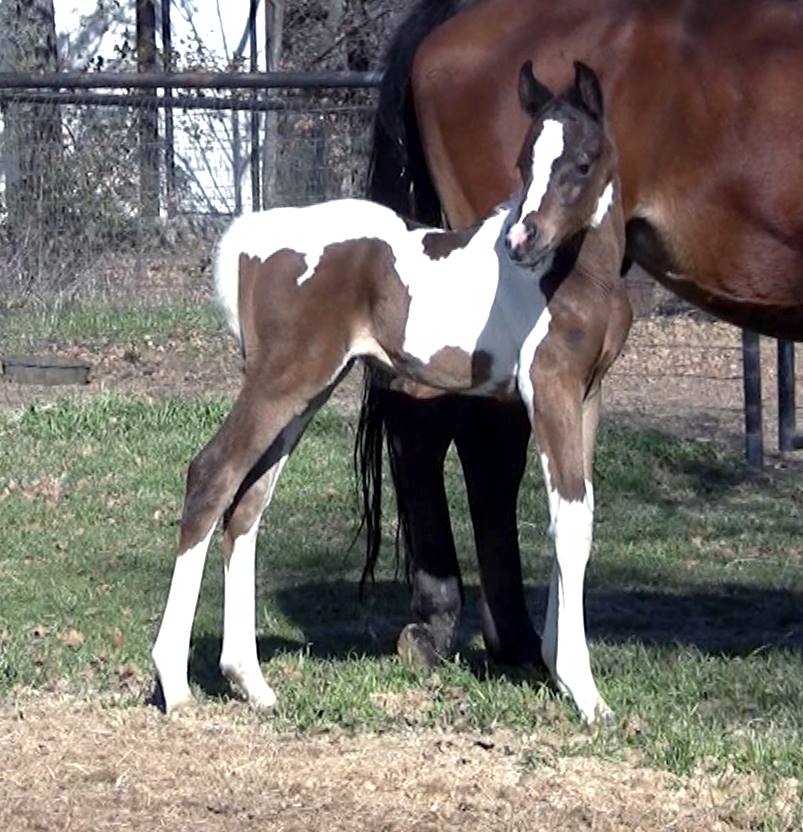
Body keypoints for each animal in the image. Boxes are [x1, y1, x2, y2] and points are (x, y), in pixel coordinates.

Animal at [154, 63, 636, 720]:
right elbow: (570, 521)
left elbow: (577, 518)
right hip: (282, 380)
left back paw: (250, 681)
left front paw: (561, 670)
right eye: (523, 162)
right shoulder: (550, 389)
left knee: (248, 503)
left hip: (306, 390)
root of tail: (249, 241)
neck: (570, 274)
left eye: (582, 163)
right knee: (212, 475)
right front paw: (585, 692)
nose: (522, 240)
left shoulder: (588, 395)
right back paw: (175, 684)